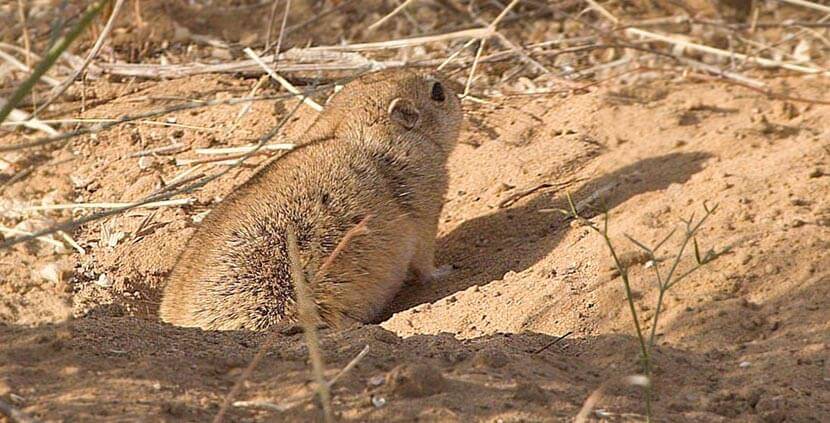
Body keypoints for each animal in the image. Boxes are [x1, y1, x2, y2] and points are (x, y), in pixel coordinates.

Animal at [159, 69, 464, 332]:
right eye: (438, 92)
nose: (458, 88)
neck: (354, 124)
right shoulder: (427, 209)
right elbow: (425, 263)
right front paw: (445, 271)